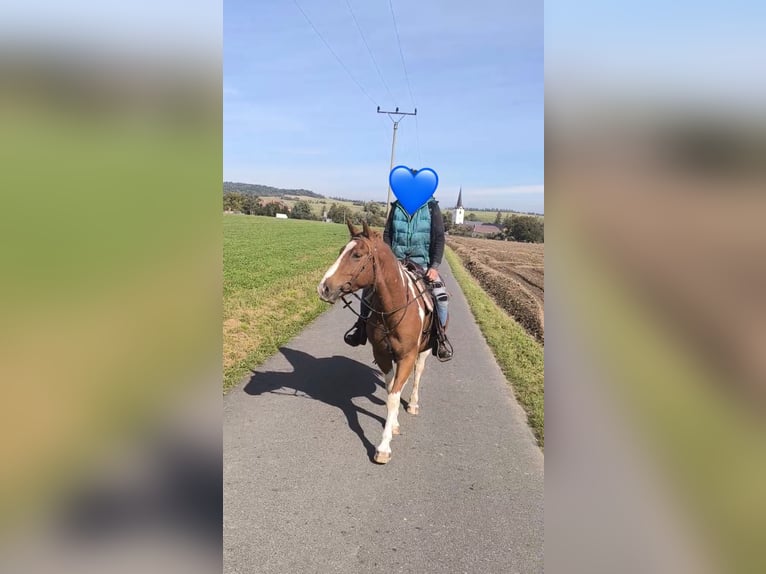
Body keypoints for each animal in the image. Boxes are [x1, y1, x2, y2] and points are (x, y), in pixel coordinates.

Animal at [317, 220, 436, 464]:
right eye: (340, 251)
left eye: (357, 255)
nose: (323, 288)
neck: (393, 308)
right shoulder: (382, 355)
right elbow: (391, 391)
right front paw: (394, 425)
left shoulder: (407, 355)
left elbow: (394, 396)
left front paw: (383, 447)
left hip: (423, 351)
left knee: (418, 373)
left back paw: (413, 404)